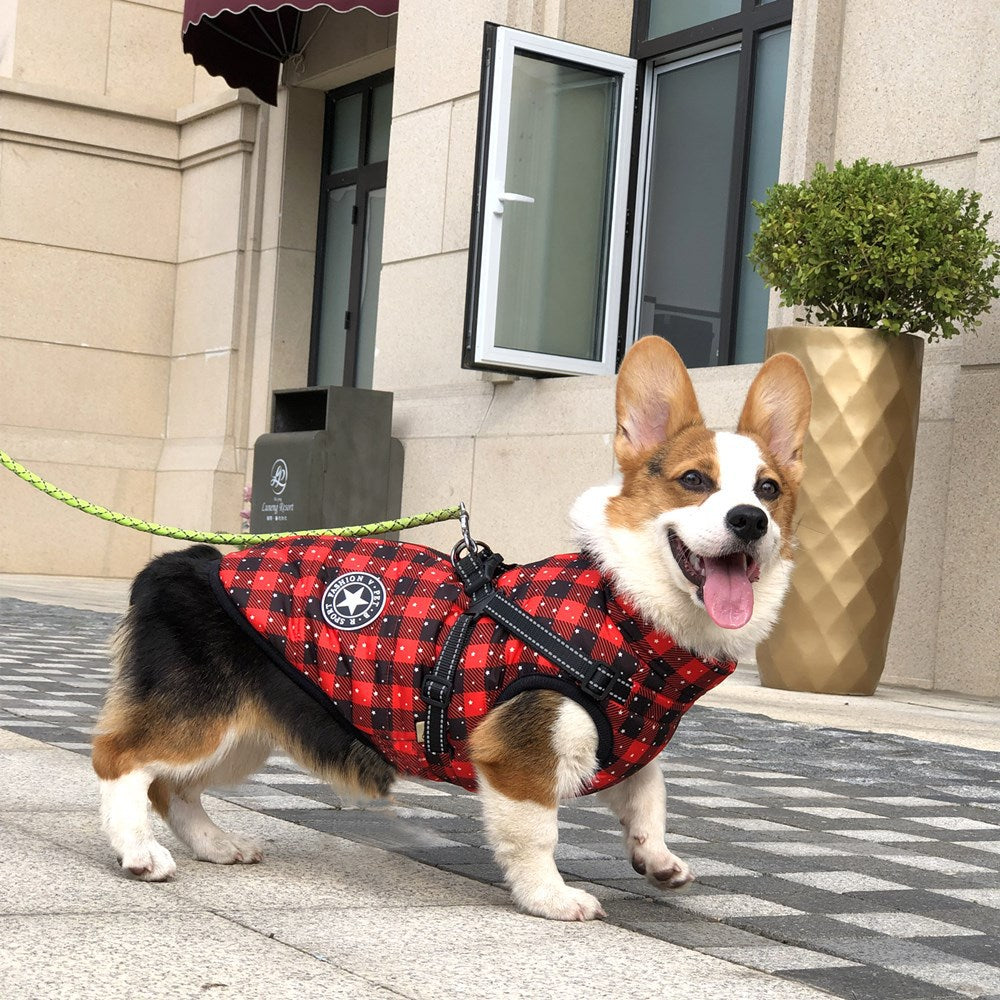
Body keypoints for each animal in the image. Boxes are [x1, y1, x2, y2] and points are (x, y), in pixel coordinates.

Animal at [94, 336, 812, 920]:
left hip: (248, 728)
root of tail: (182, 560)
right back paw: (139, 854)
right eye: (695, 480)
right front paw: (552, 899)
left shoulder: (625, 745)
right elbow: (537, 834)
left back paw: (217, 844)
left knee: (173, 786)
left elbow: (649, 800)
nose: (749, 520)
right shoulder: (518, 754)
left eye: (769, 490)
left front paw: (657, 860)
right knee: (121, 762)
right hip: (201, 717)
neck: (626, 605)